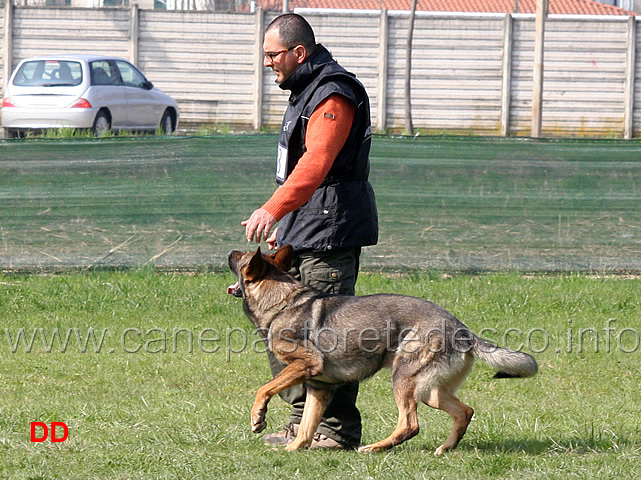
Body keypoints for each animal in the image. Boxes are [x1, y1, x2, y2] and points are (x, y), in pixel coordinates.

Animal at [225, 248, 536, 454]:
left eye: (240, 258)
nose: (229, 251)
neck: (280, 301)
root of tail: (463, 329)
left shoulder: (305, 365)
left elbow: (264, 389)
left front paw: (258, 418)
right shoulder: (319, 387)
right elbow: (306, 428)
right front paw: (292, 451)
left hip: (403, 379)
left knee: (410, 425)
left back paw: (374, 448)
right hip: (430, 390)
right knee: (464, 411)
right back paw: (445, 448)